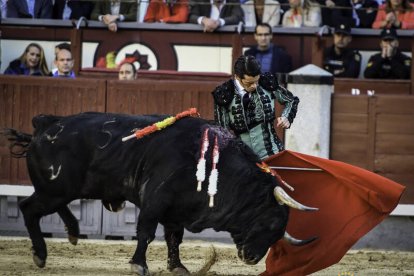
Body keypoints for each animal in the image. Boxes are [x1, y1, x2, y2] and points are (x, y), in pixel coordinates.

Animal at [3, 111, 316, 274]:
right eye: (270, 222)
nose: (252, 258)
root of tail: (45, 125)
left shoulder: (177, 212)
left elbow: (174, 239)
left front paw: (177, 267)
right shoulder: (154, 202)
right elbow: (146, 233)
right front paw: (138, 265)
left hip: (61, 189)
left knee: (55, 206)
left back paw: (72, 231)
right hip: (56, 188)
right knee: (29, 208)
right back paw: (41, 254)